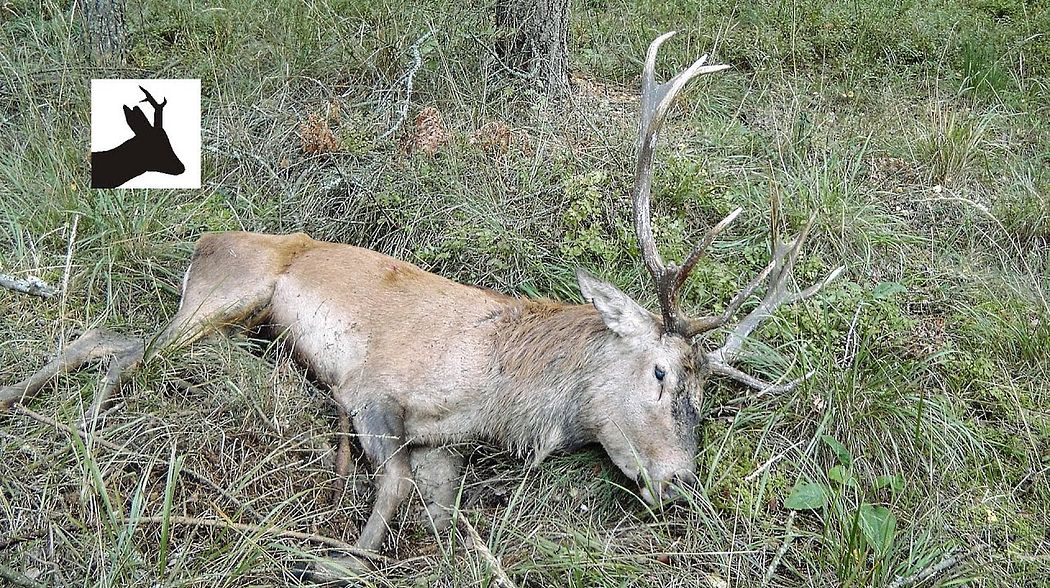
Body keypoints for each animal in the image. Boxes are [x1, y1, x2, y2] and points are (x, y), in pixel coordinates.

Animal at [1, 33, 842, 579]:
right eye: (662, 373)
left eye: (710, 394)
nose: (682, 483)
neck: (501, 393)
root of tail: (206, 237)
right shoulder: (371, 385)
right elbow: (396, 486)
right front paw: (333, 561)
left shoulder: (446, 445)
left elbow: (440, 514)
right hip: (229, 289)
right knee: (117, 344)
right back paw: (72, 429)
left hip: (235, 316)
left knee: (107, 336)